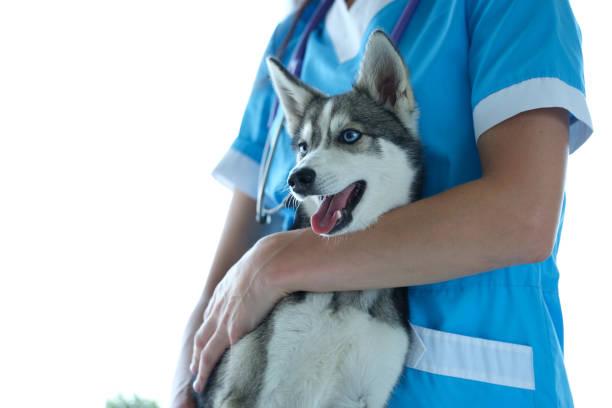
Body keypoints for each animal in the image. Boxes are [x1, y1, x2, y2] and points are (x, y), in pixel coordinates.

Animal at [196, 30, 420, 406]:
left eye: (350, 135)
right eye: (303, 146)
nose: (296, 178)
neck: (344, 292)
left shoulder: (366, 393)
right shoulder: (247, 389)